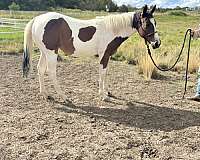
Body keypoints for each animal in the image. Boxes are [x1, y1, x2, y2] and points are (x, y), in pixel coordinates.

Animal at [22, 5, 161, 102]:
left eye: (155, 23)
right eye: (147, 24)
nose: (157, 43)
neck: (112, 29)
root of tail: (37, 19)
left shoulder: (107, 56)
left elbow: (105, 73)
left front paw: (107, 92)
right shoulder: (103, 55)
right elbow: (102, 74)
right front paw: (103, 95)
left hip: (44, 52)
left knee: (40, 69)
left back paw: (45, 95)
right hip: (51, 53)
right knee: (51, 72)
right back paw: (64, 96)